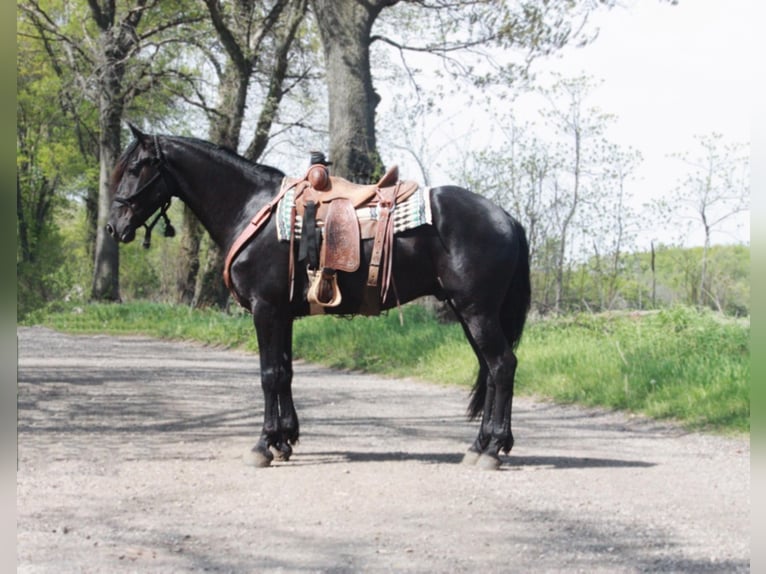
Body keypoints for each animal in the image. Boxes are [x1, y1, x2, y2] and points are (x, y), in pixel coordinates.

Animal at [108, 124, 532, 470]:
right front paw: (284, 440)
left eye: (136, 167)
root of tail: (508, 218)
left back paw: (493, 449)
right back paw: (480, 446)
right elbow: (285, 373)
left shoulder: (265, 310)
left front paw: (263, 444)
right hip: (469, 312)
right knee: (491, 370)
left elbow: (269, 374)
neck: (251, 209)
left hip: (477, 312)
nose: (114, 226)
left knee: (502, 366)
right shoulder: (282, 314)